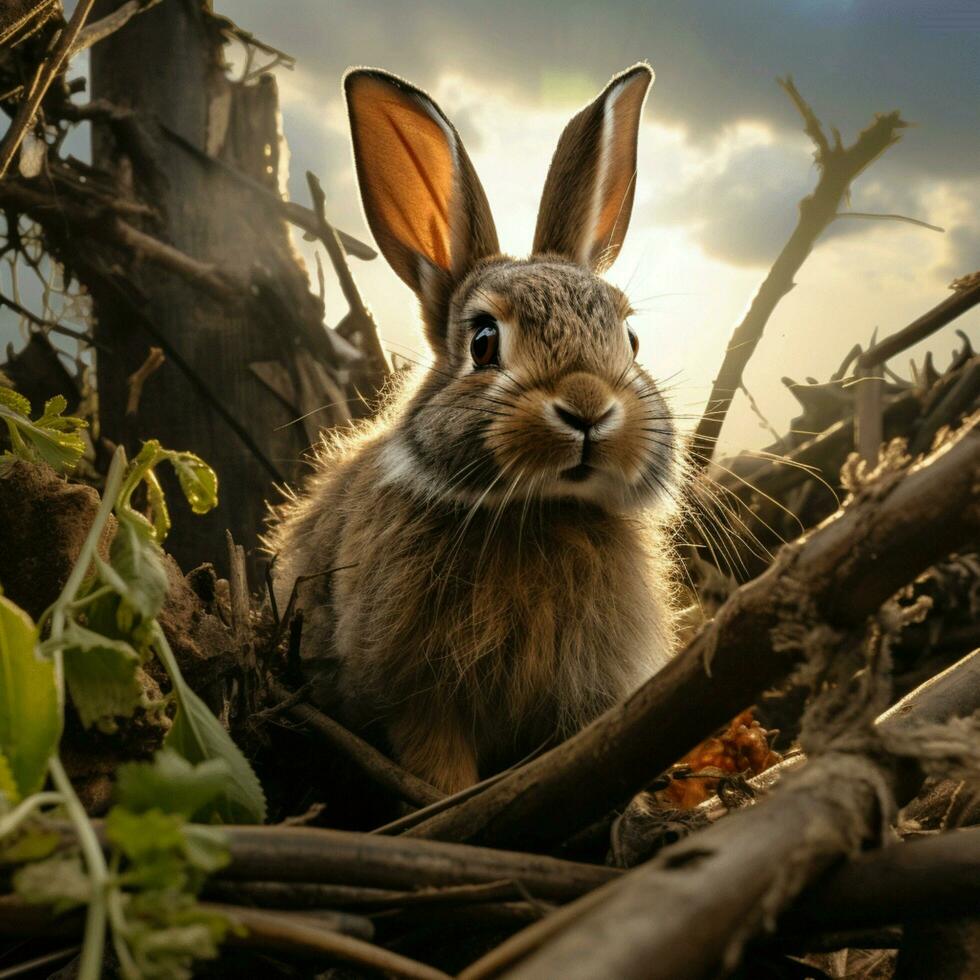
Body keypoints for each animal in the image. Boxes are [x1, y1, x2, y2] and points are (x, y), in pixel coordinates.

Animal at [266, 63, 680, 796]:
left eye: (631, 340)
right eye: (484, 342)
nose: (587, 407)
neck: (541, 509)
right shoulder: (419, 698)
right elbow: (439, 762)